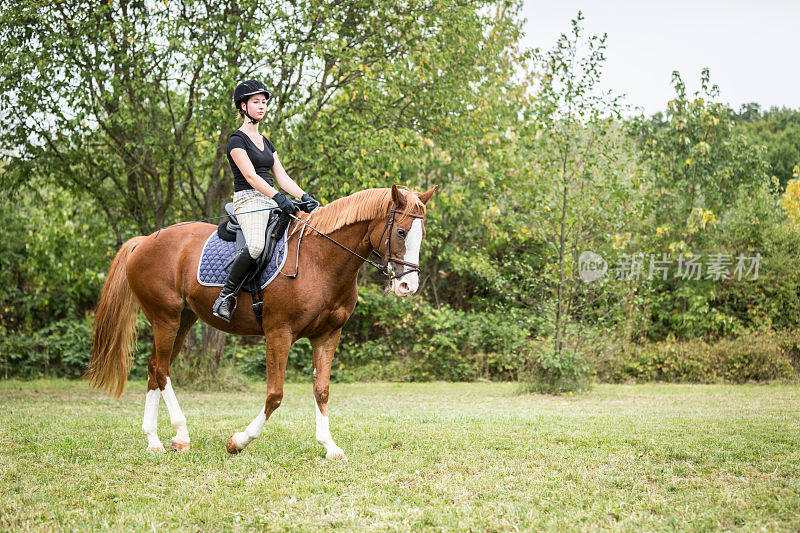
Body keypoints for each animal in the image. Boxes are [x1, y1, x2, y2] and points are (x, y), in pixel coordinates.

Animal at [86, 184, 434, 458]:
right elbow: (275, 394)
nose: (408, 285)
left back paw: (155, 440)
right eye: (401, 232)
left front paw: (329, 445)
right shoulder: (278, 332)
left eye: (422, 234)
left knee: (155, 369)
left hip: (183, 321)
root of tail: (145, 241)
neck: (320, 260)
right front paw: (238, 441)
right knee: (161, 371)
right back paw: (181, 435)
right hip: (165, 318)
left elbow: (321, 390)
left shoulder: (328, 334)